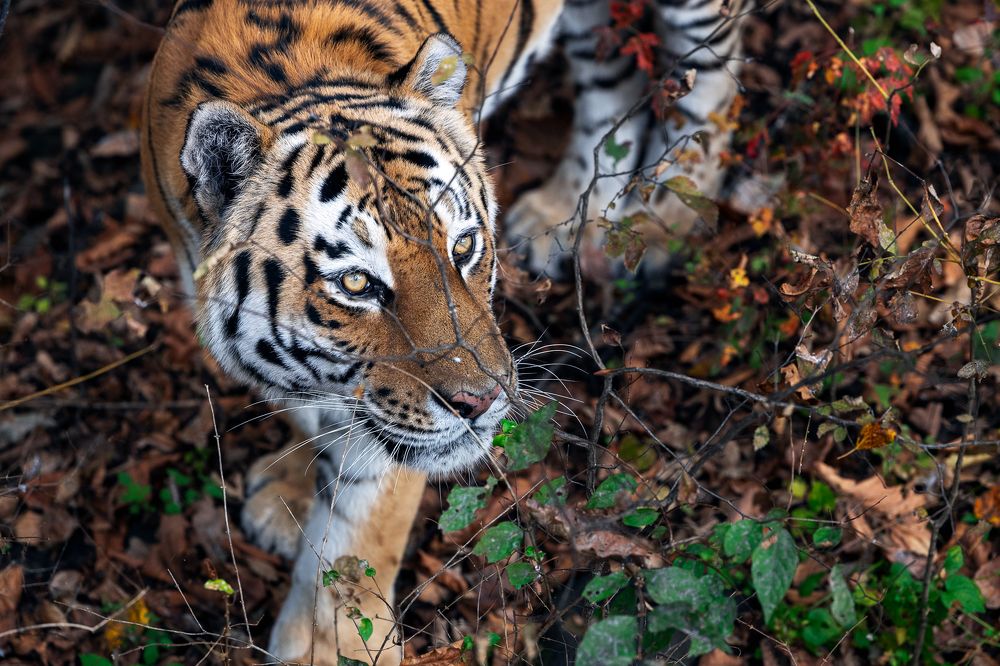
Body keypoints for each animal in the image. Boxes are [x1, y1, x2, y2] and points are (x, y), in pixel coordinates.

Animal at [140, 0, 749, 662]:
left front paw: (336, 647)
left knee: (715, 77)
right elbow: (308, 412)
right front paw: (292, 492)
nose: (482, 401)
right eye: (356, 284)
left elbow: (359, 531)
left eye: (462, 246)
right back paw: (562, 217)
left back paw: (667, 225)